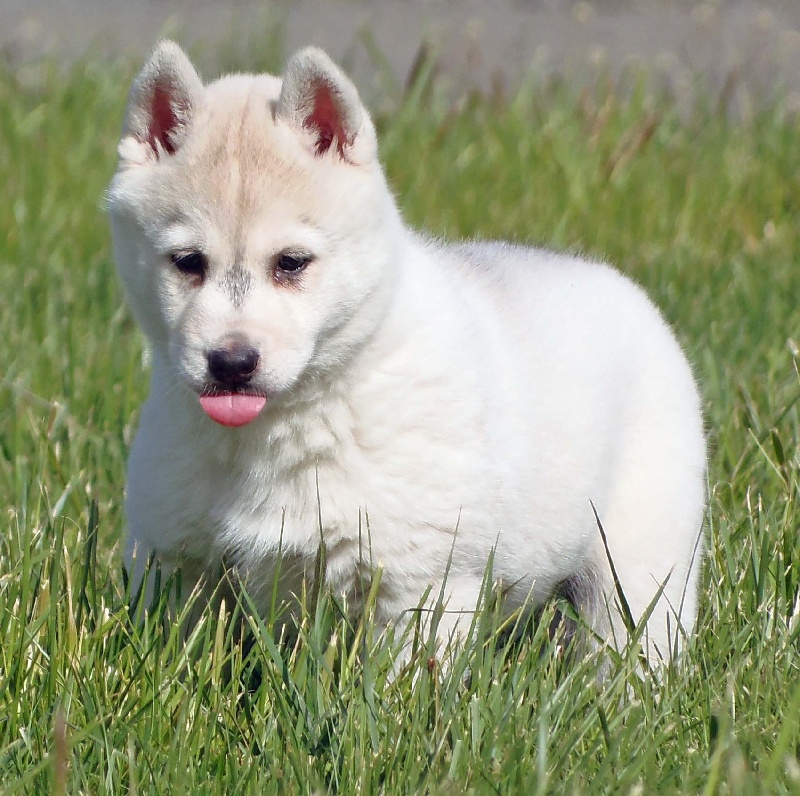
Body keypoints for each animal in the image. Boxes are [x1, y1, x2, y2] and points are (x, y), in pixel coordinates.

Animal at [106, 40, 708, 664]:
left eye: (291, 263)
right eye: (187, 262)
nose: (231, 363)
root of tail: (619, 285)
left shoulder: (422, 586)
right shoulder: (175, 567)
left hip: (638, 571)